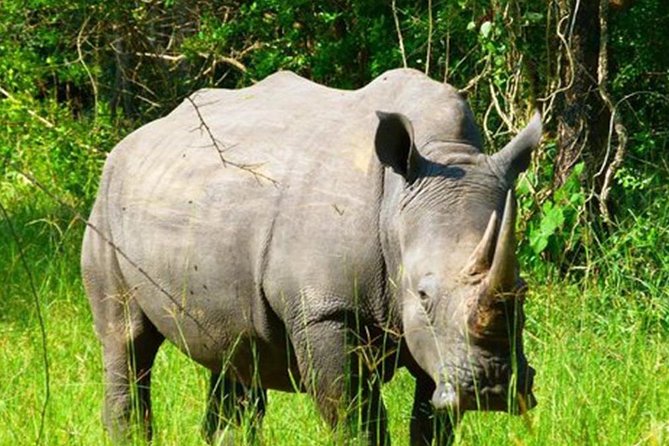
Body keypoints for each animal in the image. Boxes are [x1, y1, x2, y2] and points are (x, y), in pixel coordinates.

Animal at [82, 68, 541, 445]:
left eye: (522, 291)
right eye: (423, 294)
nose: (492, 387)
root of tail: (130, 141)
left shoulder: (439, 343)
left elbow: (432, 423)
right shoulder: (325, 309)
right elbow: (357, 420)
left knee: (234, 354)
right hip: (105, 206)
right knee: (127, 341)